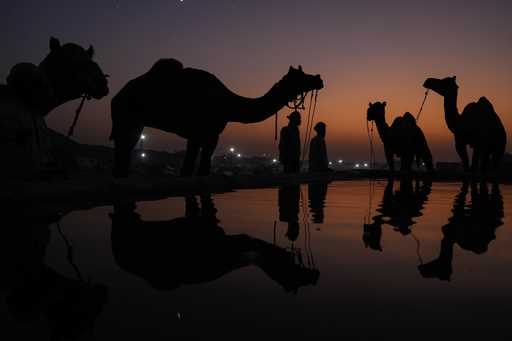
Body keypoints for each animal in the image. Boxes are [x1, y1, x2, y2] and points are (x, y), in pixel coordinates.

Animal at [110, 60, 322, 177]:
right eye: (301, 75)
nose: (319, 78)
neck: (226, 102)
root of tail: (117, 95)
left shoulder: (208, 135)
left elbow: (199, 168)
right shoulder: (199, 132)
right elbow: (191, 169)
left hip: (136, 123)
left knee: (125, 150)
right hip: (124, 117)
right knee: (122, 147)